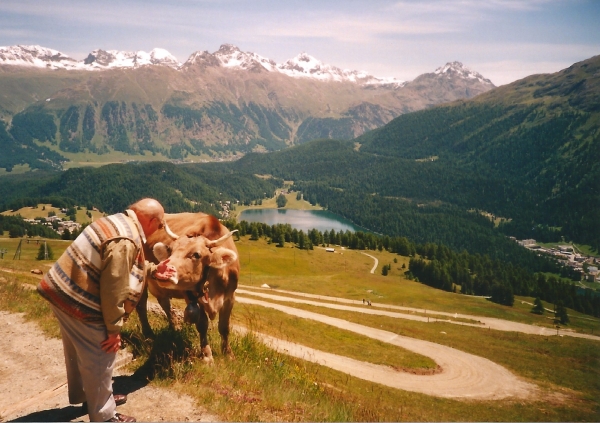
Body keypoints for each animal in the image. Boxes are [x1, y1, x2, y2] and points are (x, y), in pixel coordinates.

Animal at [137, 214, 239, 362]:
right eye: (170, 250)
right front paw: (207, 355)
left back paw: (175, 328)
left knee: (165, 304)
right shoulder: (191, 296)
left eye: (196, 255)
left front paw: (229, 354)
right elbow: (202, 324)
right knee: (142, 305)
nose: (162, 270)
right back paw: (149, 335)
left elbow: (224, 327)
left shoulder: (230, 297)